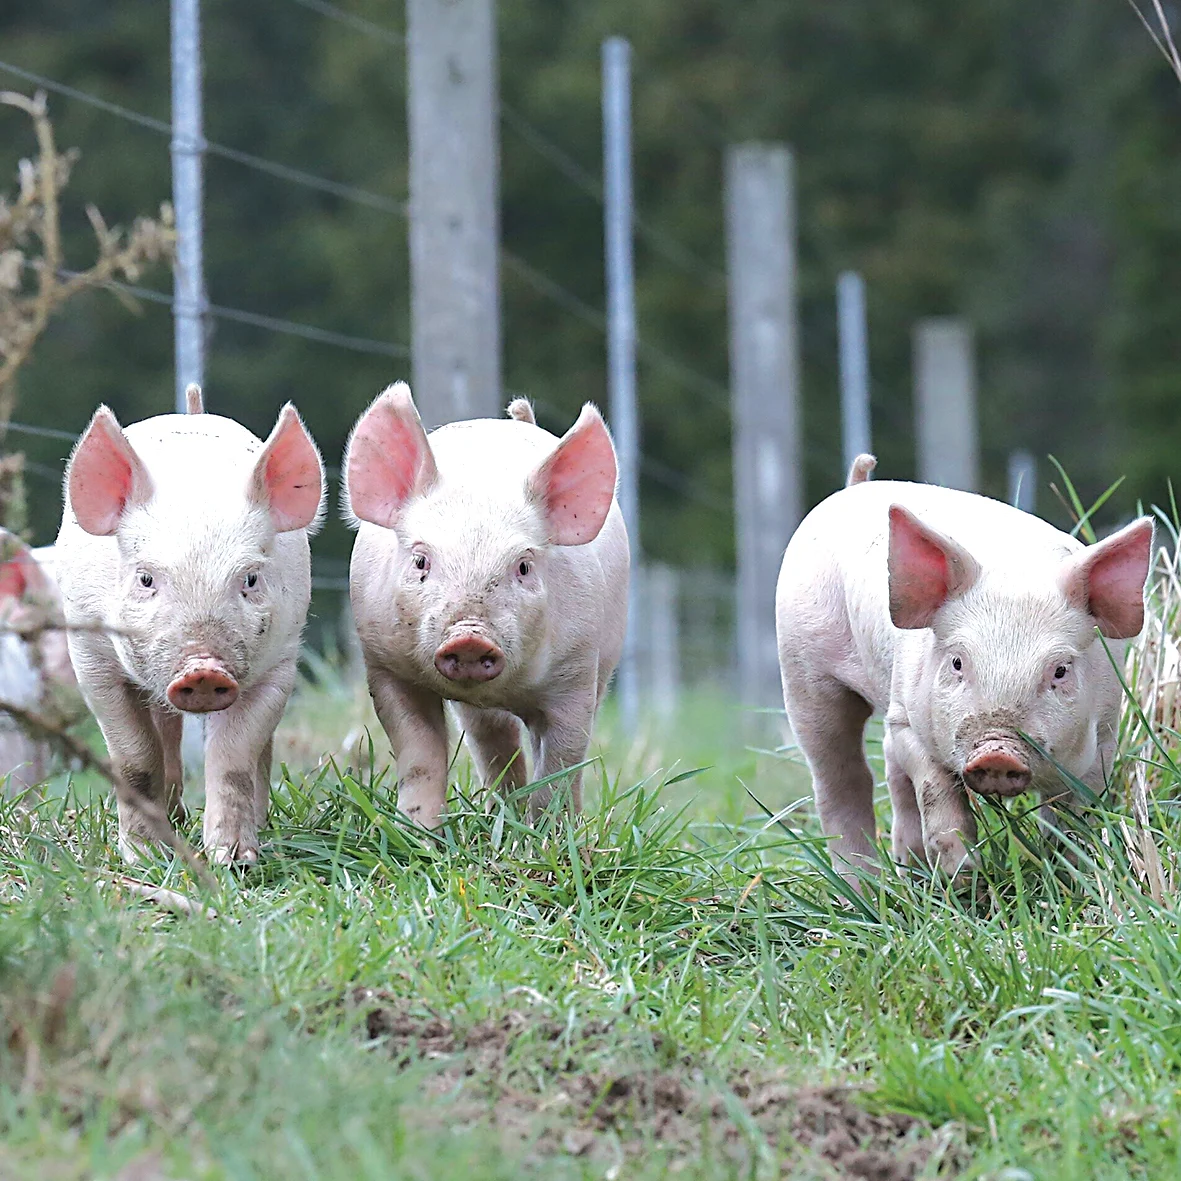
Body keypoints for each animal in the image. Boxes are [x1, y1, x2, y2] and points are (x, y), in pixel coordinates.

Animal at [55, 383, 325, 863]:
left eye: (250, 578)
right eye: (146, 579)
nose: (203, 669)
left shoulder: (281, 660)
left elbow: (233, 758)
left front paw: (234, 860)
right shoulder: (90, 656)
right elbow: (134, 757)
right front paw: (144, 856)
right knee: (165, 731)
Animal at [343, 383, 628, 828]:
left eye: (524, 566)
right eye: (421, 561)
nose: (470, 637)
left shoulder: (578, 672)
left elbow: (562, 763)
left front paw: (548, 834)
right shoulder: (386, 666)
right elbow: (419, 753)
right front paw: (419, 830)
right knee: (494, 740)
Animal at [775, 460, 1153, 877]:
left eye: (1060, 670)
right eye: (957, 662)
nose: (997, 752)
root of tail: (854, 486)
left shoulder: (1104, 734)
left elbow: (1074, 818)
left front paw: (1072, 874)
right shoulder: (909, 720)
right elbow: (937, 793)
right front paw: (963, 878)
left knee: (887, 769)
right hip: (801, 665)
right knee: (840, 777)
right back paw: (865, 885)